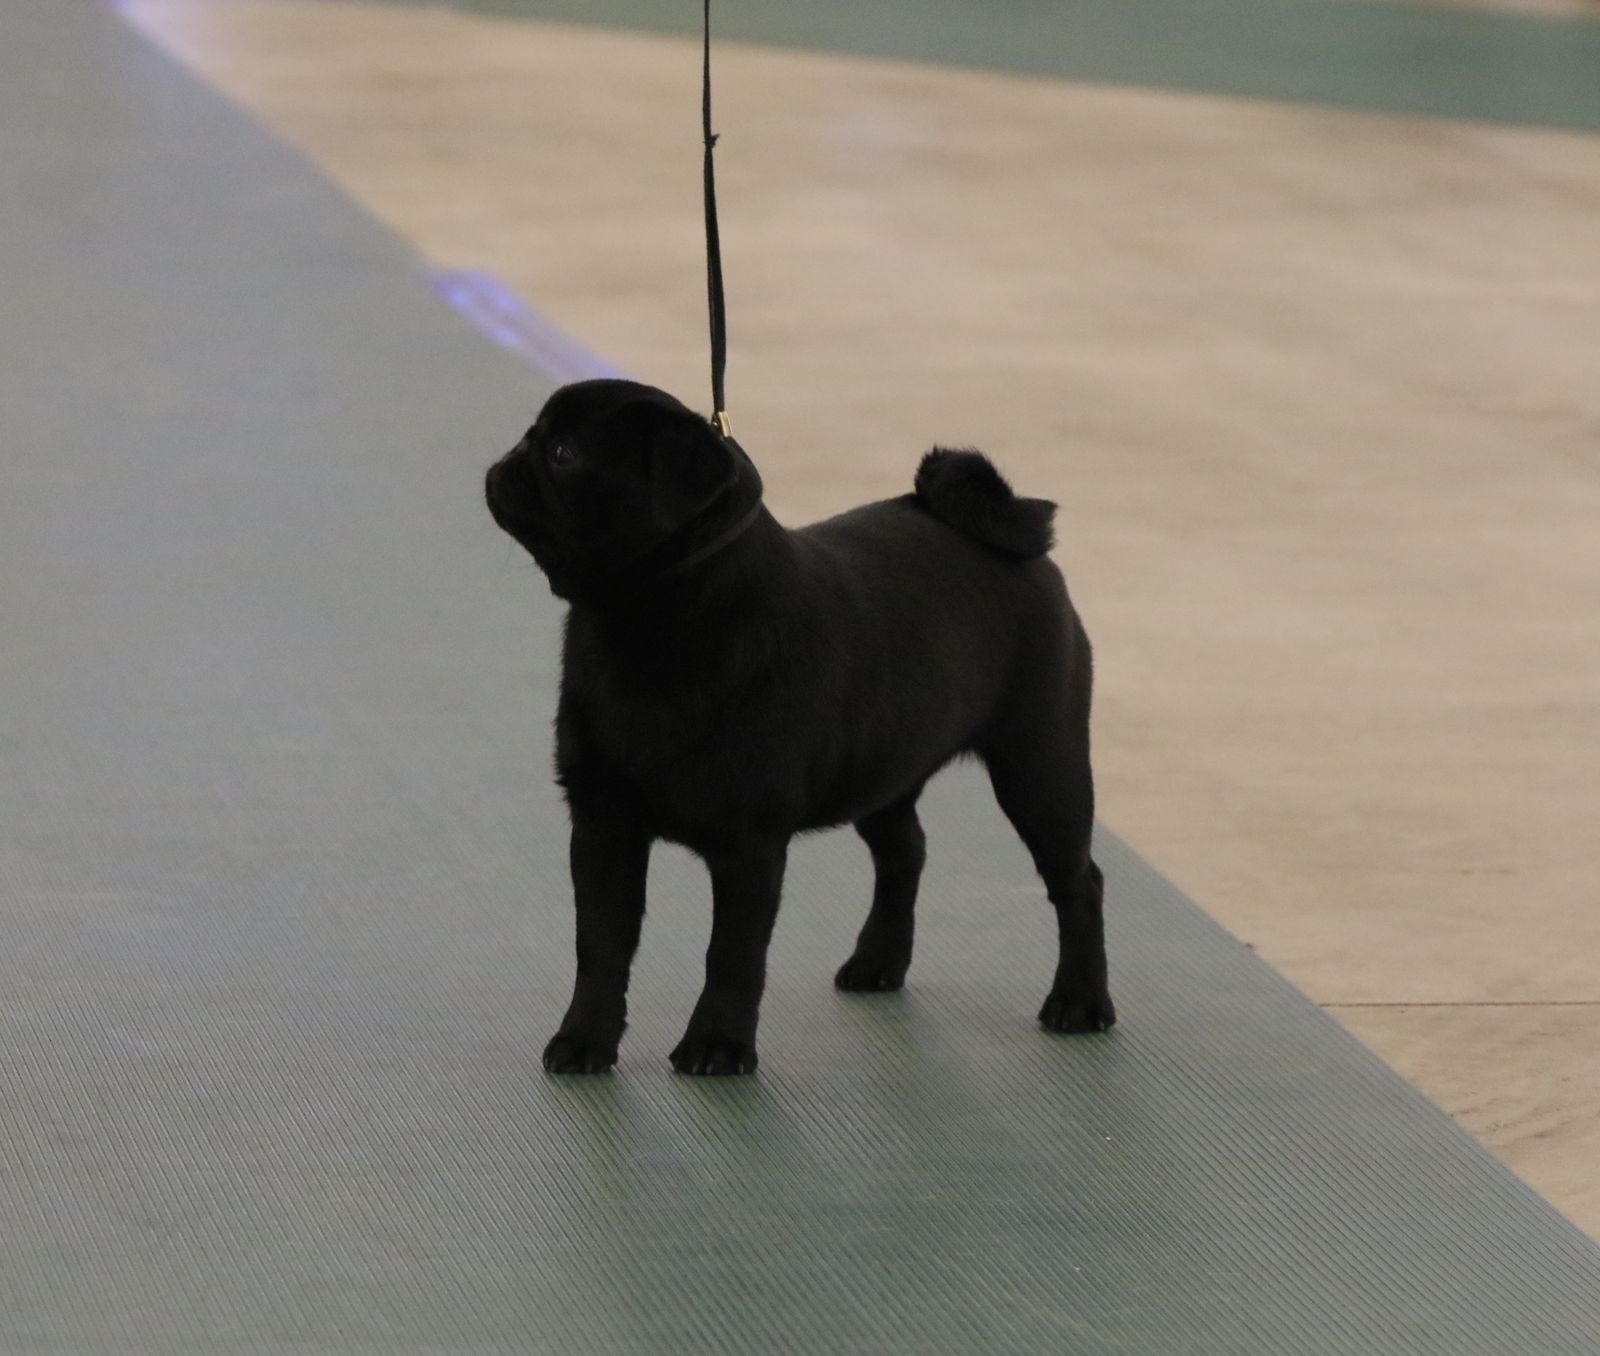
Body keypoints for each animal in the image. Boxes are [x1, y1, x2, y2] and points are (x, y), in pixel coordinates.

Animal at [486, 378, 1114, 1075]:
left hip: (1039, 767)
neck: (649, 626)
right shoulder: (604, 825)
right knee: (904, 853)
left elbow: (732, 956)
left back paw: (1080, 1002)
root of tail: (1016, 538)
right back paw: (878, 961)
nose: (508, 458)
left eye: (564, 453)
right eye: (535, 436)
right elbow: (600, 946)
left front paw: (717, 1044)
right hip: (886, 769)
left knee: (1077, 882)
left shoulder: (748, 848)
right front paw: (585, 1038)